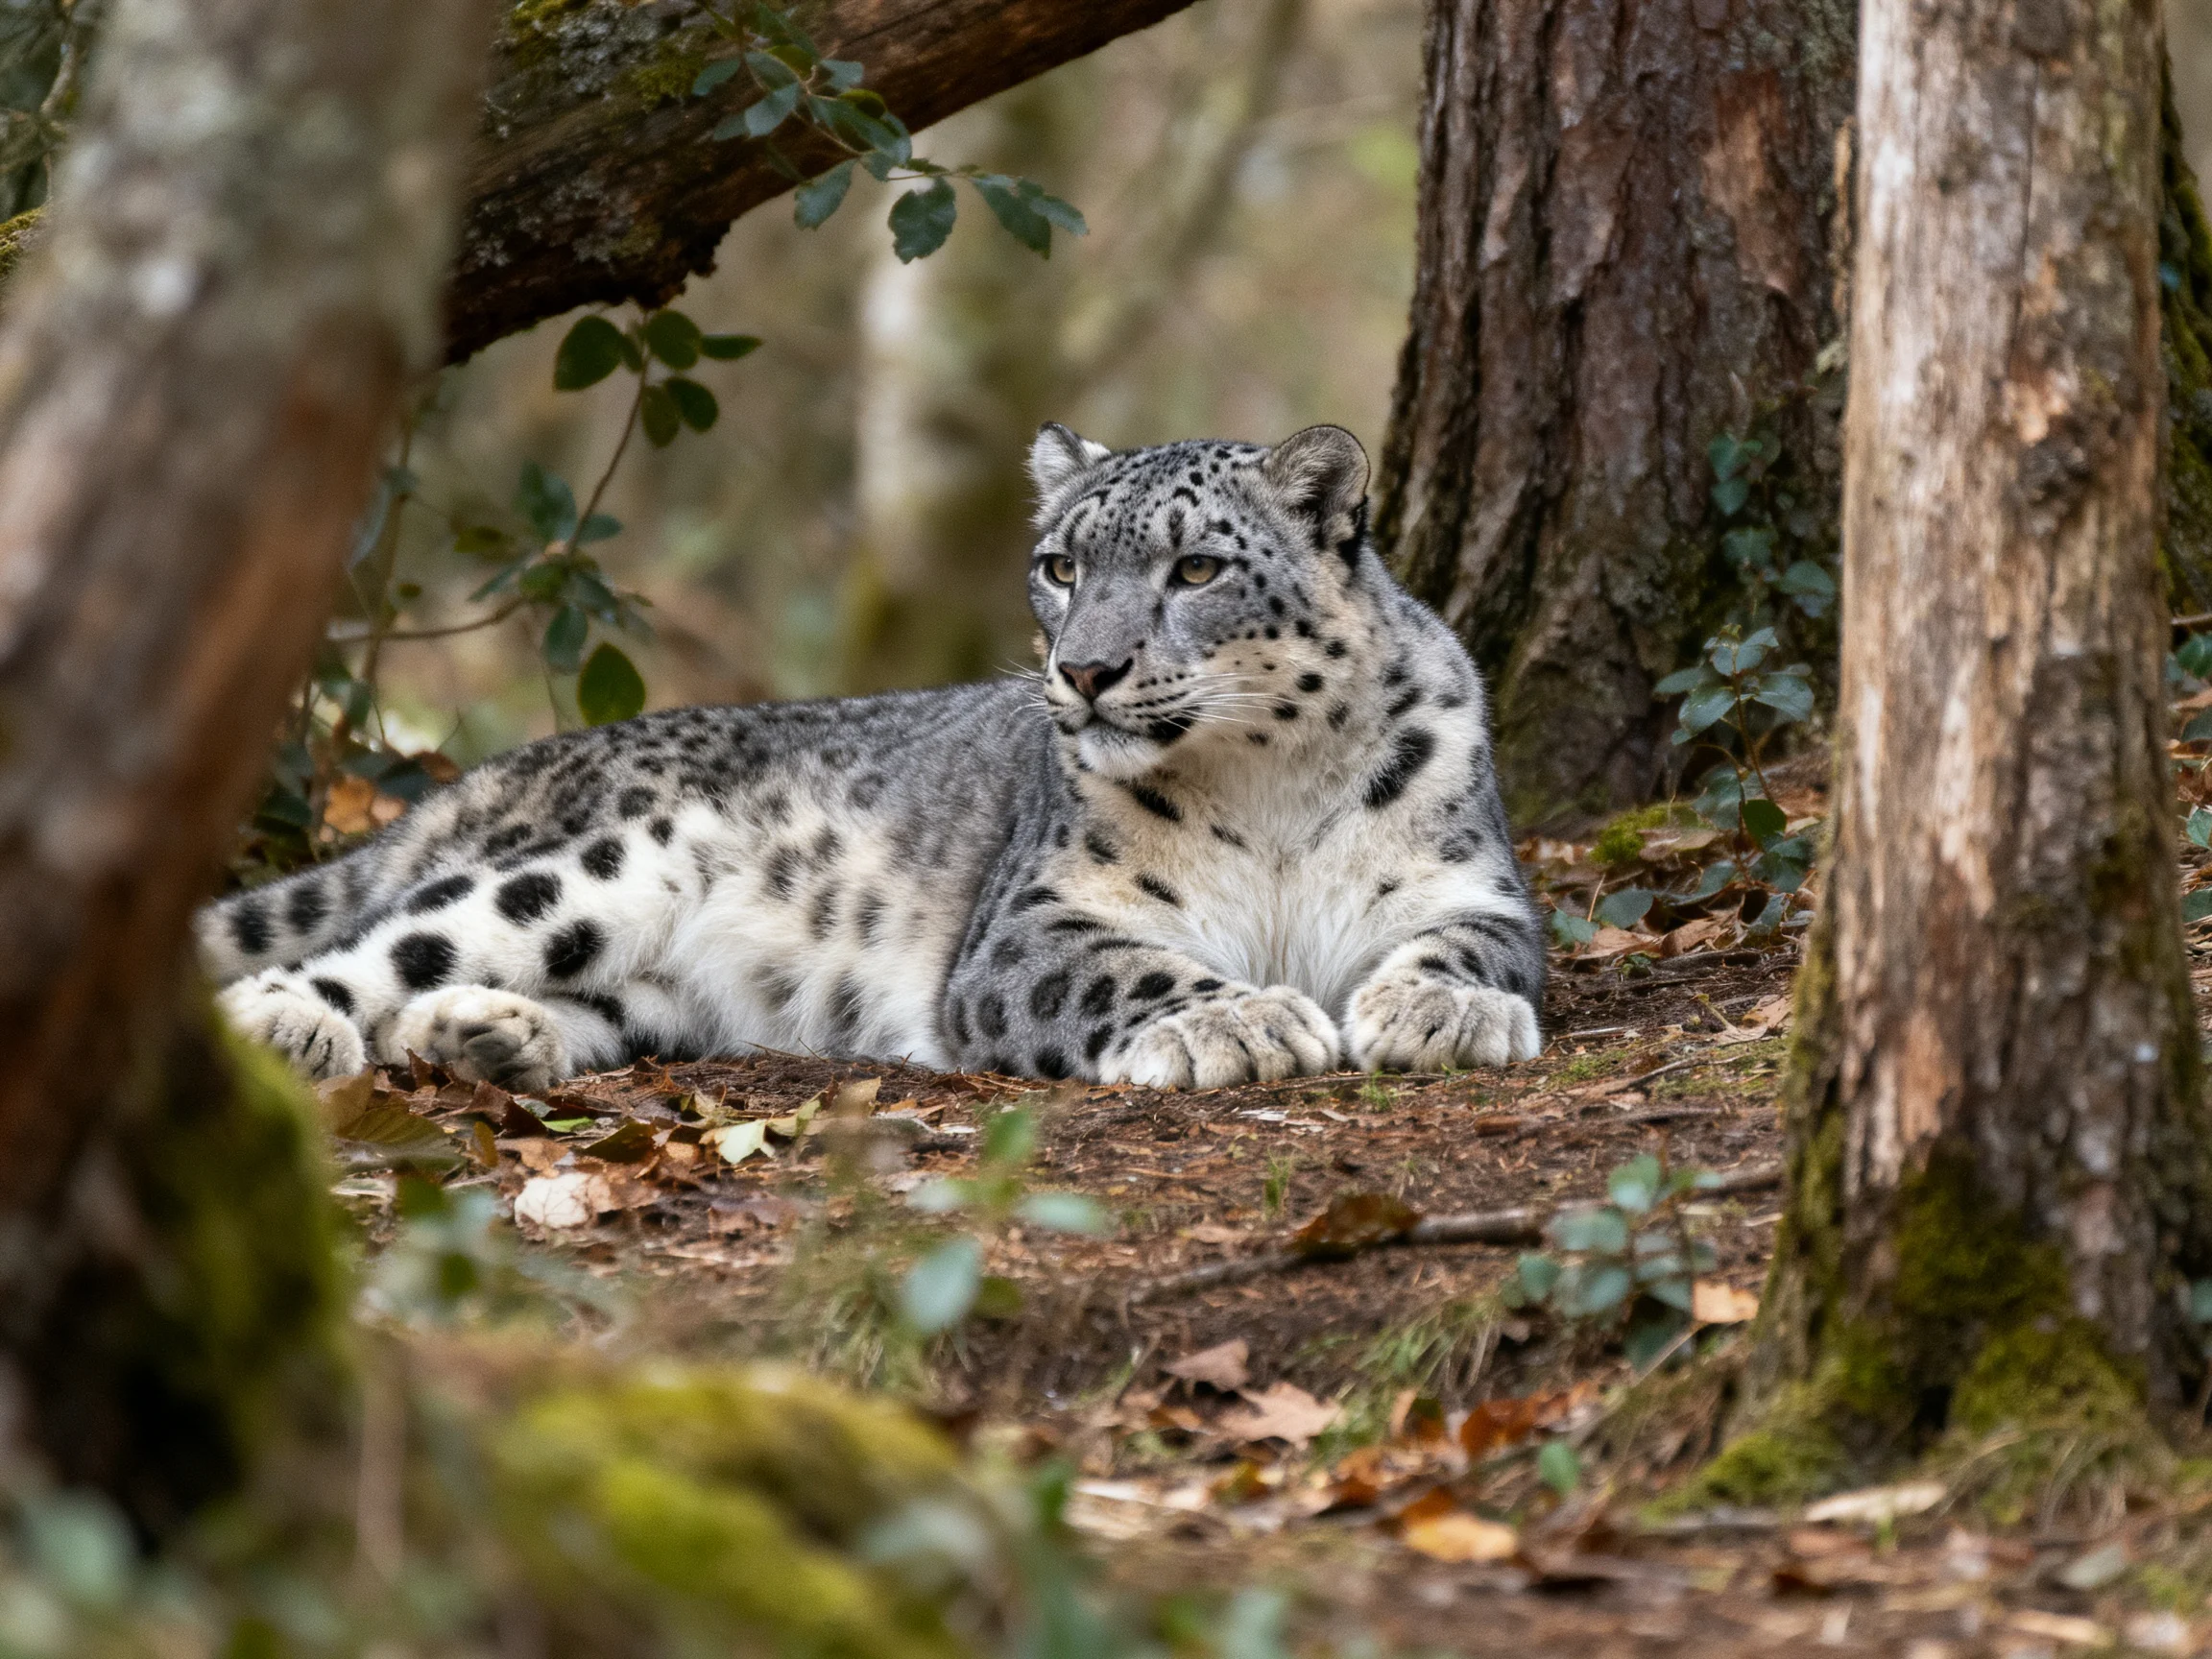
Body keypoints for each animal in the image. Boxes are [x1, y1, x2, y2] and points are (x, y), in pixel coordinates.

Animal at [203, 423, 1545, 1093]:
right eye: (1061, 564)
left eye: (1199, 567)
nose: (1086, 670)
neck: (1265, 791)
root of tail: (507, 769)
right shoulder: (1034, 925)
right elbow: (1132, 970)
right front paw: (1246, 1023)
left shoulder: (1470, 884)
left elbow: (1476, 947)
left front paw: (1442, 1011)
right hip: (599, 870)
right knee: (382, 942)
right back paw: (290, 1024)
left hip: (662, 988)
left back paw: (488, 1036)